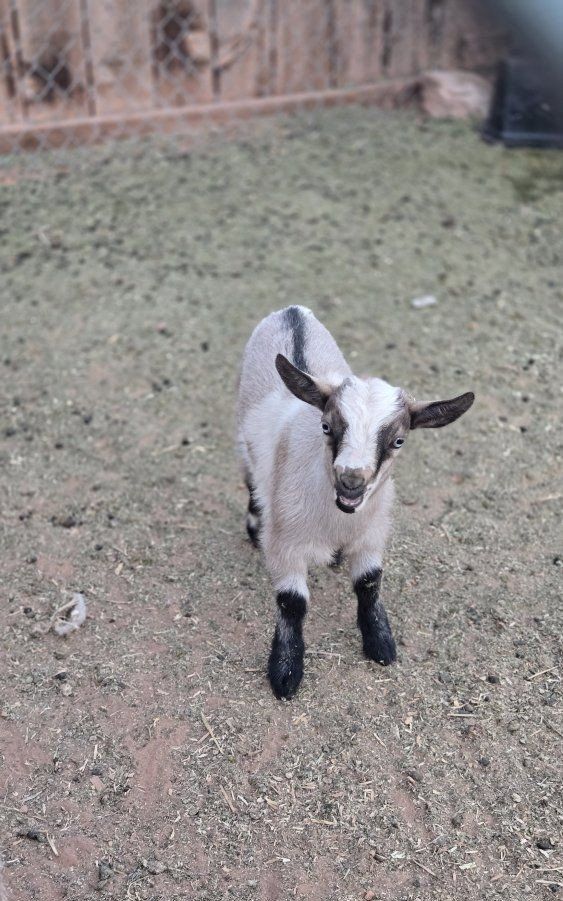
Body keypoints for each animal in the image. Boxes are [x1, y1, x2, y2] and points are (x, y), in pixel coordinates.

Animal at [237, 306, 474, 699]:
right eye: (327, 427)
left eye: (398, 441)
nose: (351, 480)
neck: (338, 519)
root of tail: (292, 311)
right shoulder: (285, 544)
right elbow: (292, 603)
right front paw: (286, 672)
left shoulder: (371, 534)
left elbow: (369, 584)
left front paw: (380, 643)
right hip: (243, 444)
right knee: (252, 483)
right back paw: (254, 527)